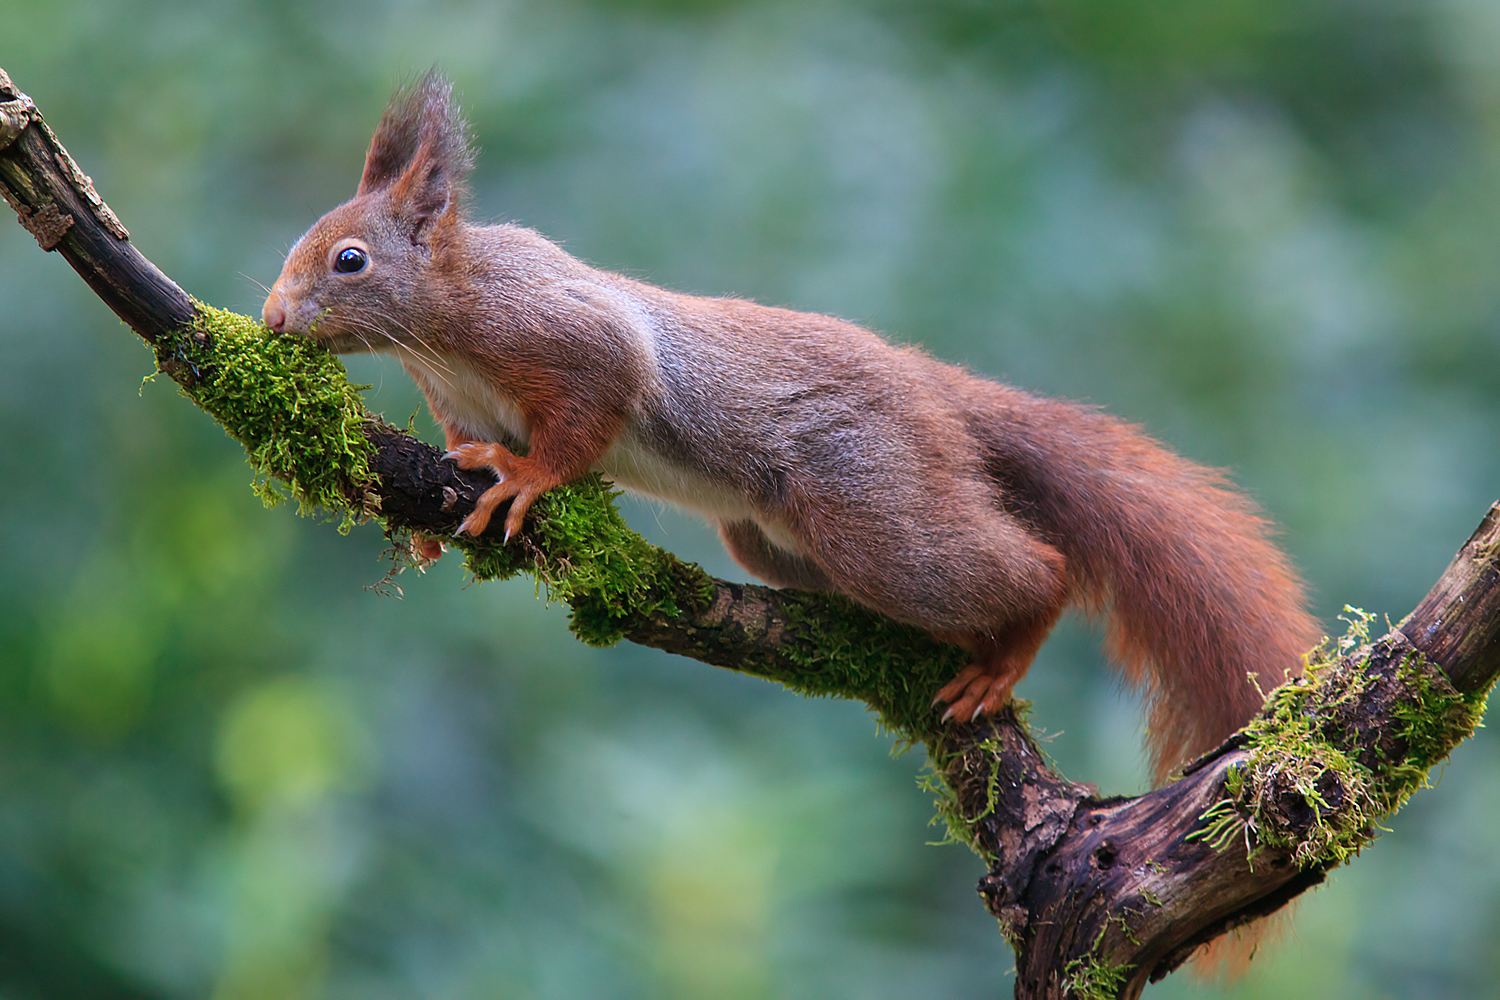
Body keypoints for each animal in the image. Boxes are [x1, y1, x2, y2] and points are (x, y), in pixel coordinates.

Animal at [264, 76, 1320, 779]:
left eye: (350, 260)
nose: (272, 321)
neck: (446, 326)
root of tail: (937, 395)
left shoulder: (564, 335)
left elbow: (588, 415)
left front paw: (528, 479)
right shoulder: (461, 402)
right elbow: (458, 453)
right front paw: (425, 528)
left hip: (872, 508)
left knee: (1036, 567)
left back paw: (1005, 651)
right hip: (773, 539)